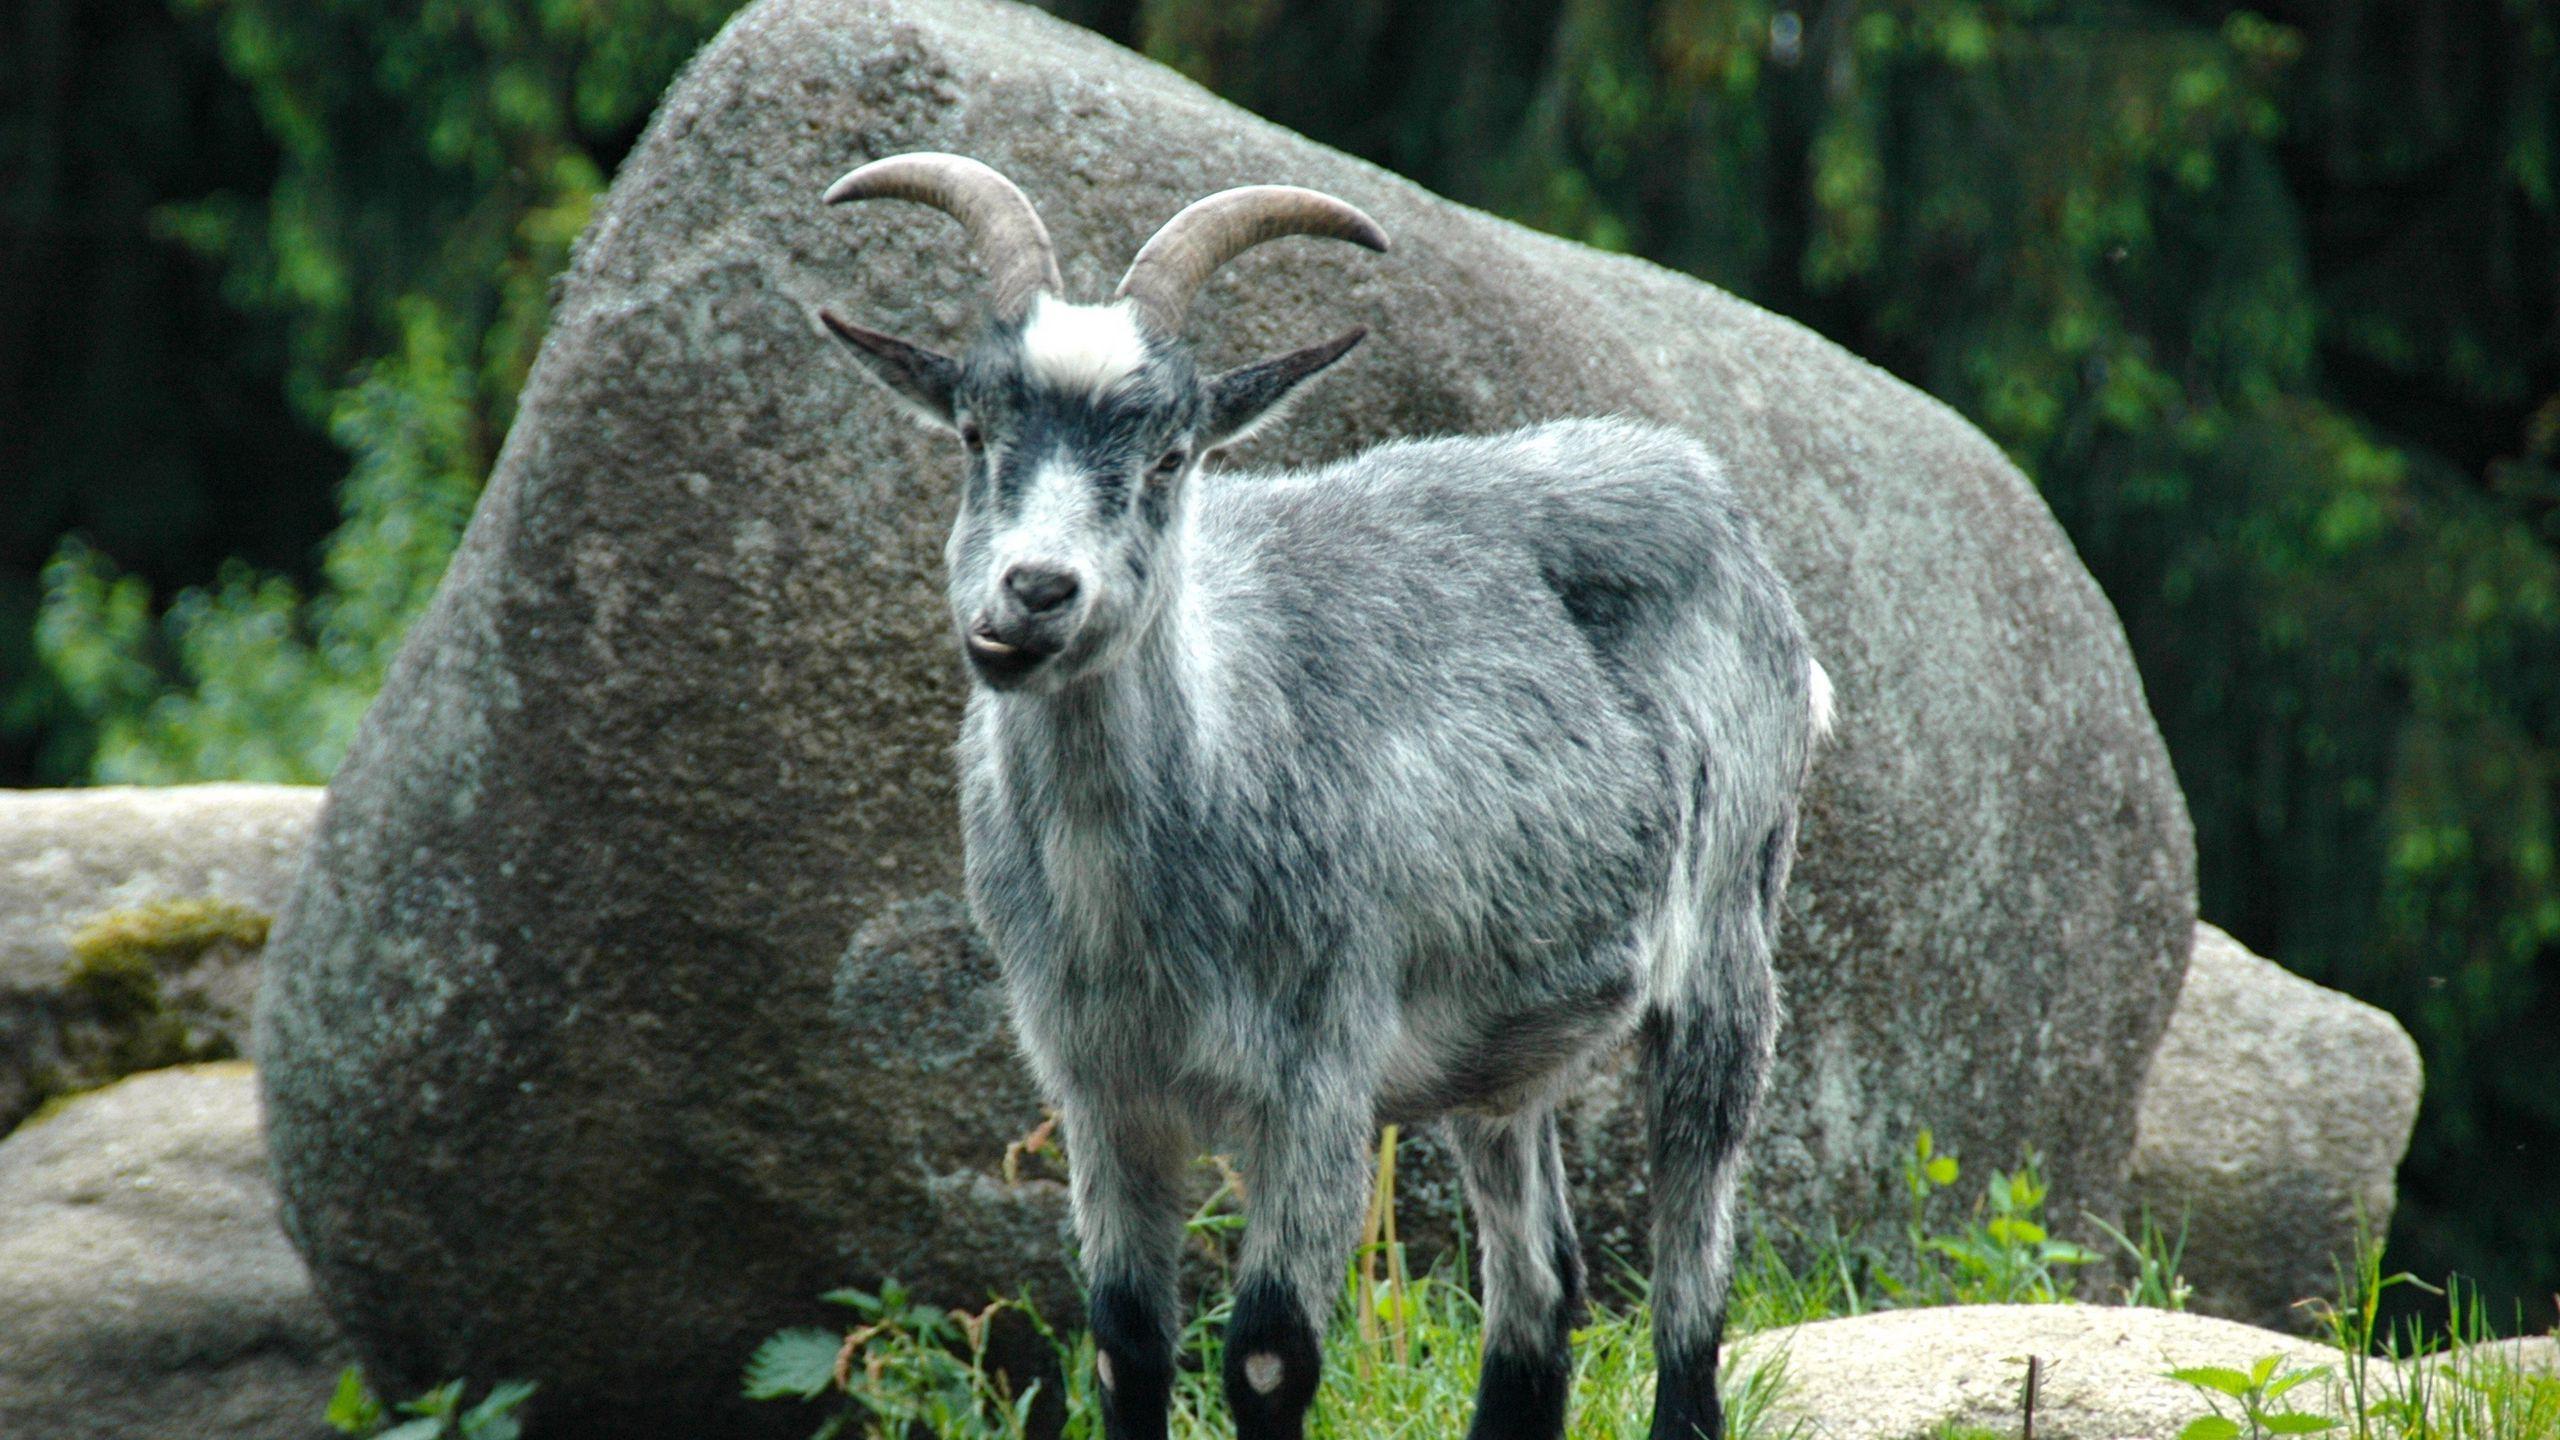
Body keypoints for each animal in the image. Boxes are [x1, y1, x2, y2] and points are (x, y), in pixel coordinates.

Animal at [817, 153, 1830, 1440]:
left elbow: (1265, 1356)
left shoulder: (1317, 1077)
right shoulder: (1100, 1087)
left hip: (1729, 934)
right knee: (1540, 1279)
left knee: (1690, 1258)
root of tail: (1703, 487)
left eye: (1171, 455)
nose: (1034, 593)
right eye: (971, 431)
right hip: (1502, 1039)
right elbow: (1124, 1347)